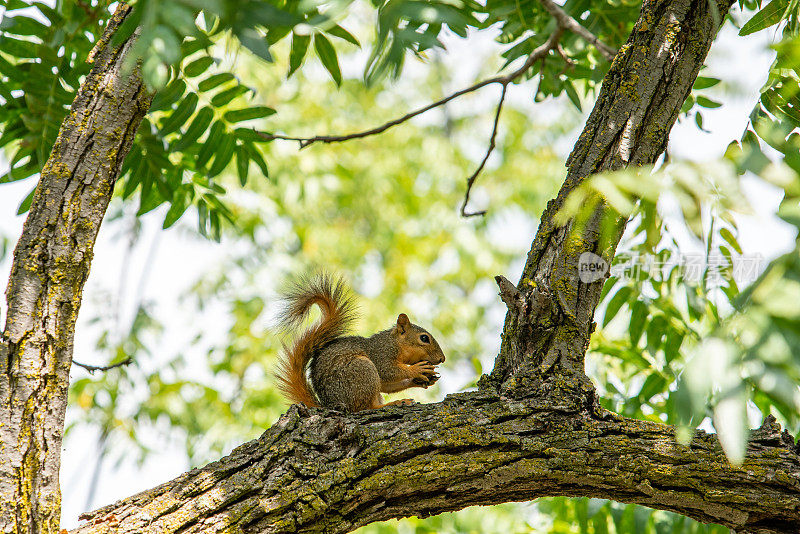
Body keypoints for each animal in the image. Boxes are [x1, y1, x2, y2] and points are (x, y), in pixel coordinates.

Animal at [276, 274, 444, 412]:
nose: (442, 359)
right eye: (424, 338)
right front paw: (417, 369)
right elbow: (388, 371)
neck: (395, 343)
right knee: (366, 407)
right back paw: (394, 403)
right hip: (362, 370)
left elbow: (387, 385)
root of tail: (330, 405)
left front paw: (421, 379)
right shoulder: (380, 354)